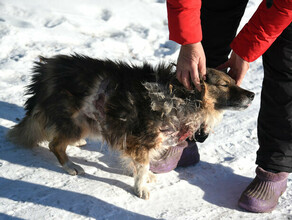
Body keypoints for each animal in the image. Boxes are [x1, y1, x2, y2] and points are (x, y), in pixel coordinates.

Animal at [6, 53, 253, 199]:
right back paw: (70, 166)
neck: (180, 96)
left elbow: (139, 164)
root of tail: (48, 69)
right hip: (75, 121)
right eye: (224, 85)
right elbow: (142, 166)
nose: (252, 94)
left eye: (234, 81)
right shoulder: (142, 140)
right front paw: (140, 187)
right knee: (55, 144)